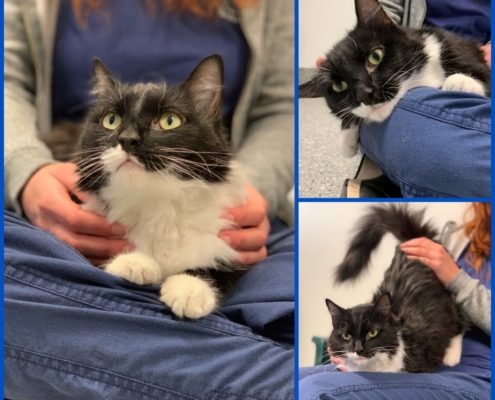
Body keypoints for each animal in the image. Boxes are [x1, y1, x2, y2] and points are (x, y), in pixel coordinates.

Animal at [75, 55, 246, 318]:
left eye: (169, 121)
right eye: (111, 120)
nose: (127, 140)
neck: (156, 202)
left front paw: (190, 288)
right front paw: (134, 261)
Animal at [328, 205, 466, 374]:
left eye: (372, 333)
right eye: (346, 336)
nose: (358, 349)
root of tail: (411, 240)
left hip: (447, 300)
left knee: (459, 320)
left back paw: (452, 356)